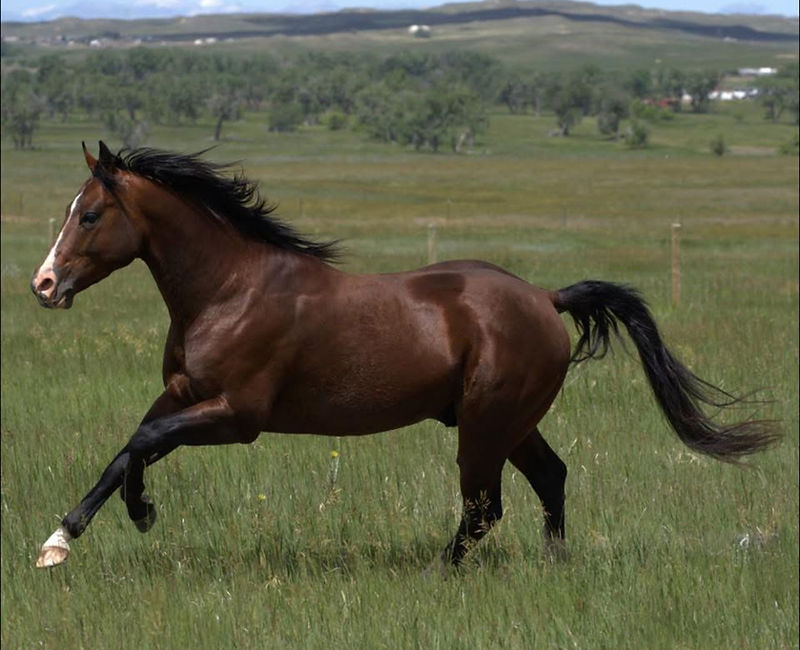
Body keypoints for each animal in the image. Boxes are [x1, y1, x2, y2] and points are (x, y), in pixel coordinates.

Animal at [30, 142, 780, 568]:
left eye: (89, 215)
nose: (44, 284)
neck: (229, 289)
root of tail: (546, 296)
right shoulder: (185, 395)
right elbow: (130, 446)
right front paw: (63, 540)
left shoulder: (237, 416)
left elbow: (142, 440)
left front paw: (132, 518)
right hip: (510, 423)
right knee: (551, 478)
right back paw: (553, 564)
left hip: (485, 424)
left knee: (485, 507)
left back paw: (438, 571)